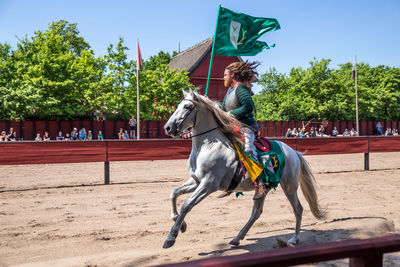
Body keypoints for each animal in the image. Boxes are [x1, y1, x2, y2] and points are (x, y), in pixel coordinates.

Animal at [162, 90, 324, 249]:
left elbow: (186, 205)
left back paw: (294, 239)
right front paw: (180, 223)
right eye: (178, 106)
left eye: (187, 107)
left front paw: (171, 237)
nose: (168, 128)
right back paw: (237, 238)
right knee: (256, 213)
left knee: (298, 209)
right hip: (264, 189)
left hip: (289, 187)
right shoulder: (196, 181)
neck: (209, 146)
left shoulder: (208, 184)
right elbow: (174, 193)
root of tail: (293, 152)